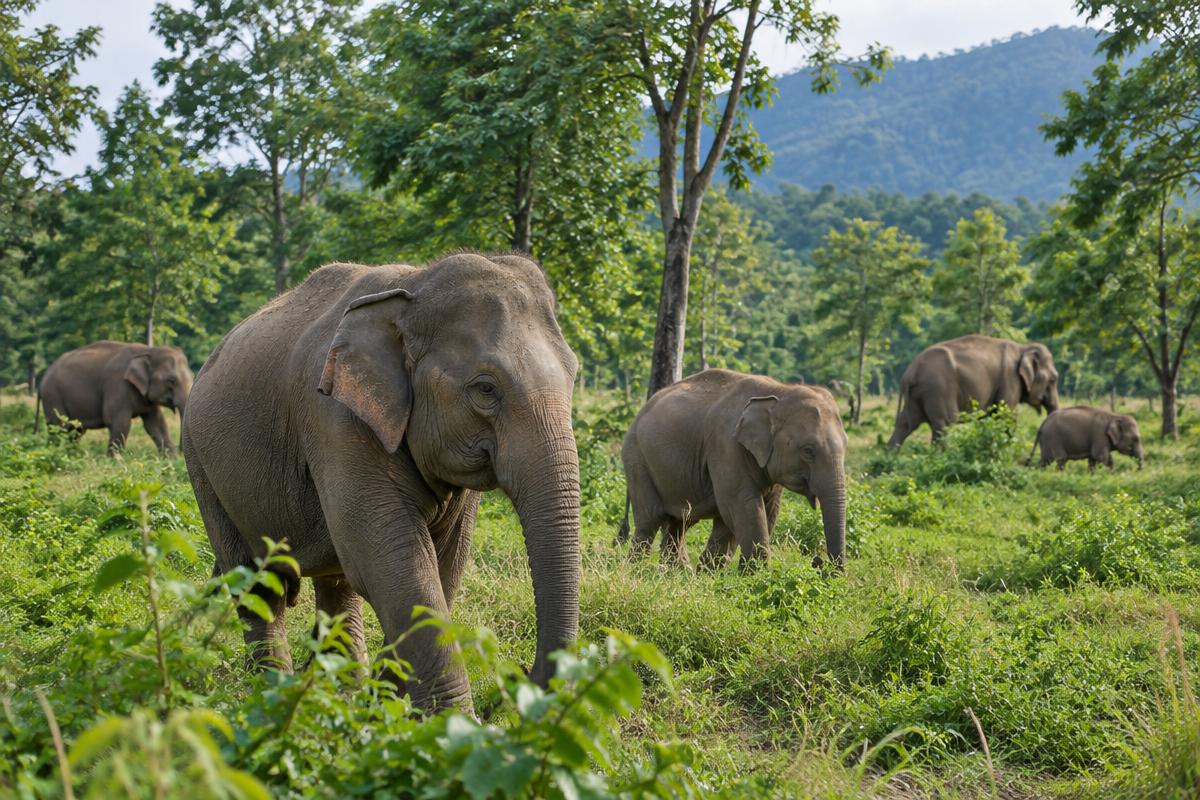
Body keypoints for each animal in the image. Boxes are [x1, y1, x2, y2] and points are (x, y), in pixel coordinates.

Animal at [36, 341, 193, 455]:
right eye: (171, 380)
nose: (181, 451)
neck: (148, 350)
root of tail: (42, 380)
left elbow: (156, 423)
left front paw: (171, 459)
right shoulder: (117, 385)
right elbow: (118, 422)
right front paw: (116, 461)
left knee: (75, 431)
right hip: (53, 397)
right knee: (59, 427)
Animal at [181, 253, 581, 712]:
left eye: (574, 375)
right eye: (485, 388)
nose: (517, 680)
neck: (414, 286)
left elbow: (442, 565)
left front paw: (391, 707)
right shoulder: (336, 421)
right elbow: (396, 563)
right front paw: (453, 722)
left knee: (336, 582)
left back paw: (339, 688)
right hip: (199, 462)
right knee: (256, 583)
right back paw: (272, 689)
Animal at [617, 369, 847, 571]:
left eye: (846, 443)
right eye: (808, 451)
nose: (819, 563)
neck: (780, 391)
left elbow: (766, 509)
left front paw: (710, 574)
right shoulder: (725, 446)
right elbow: (741, 504)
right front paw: (755, 576)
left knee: (680, 522)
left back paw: (677, 571)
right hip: (636, 457)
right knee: (651, 518)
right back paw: (636, 569)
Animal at [888, 335, 1059, 448]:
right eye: (1053, 379)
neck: (1023, 347)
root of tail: (909, 372)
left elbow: (992, 416)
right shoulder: (1010, 380)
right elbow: (1006, 417)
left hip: (917, 395)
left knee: (905, 423)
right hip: (937, 389)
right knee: (944, 424)